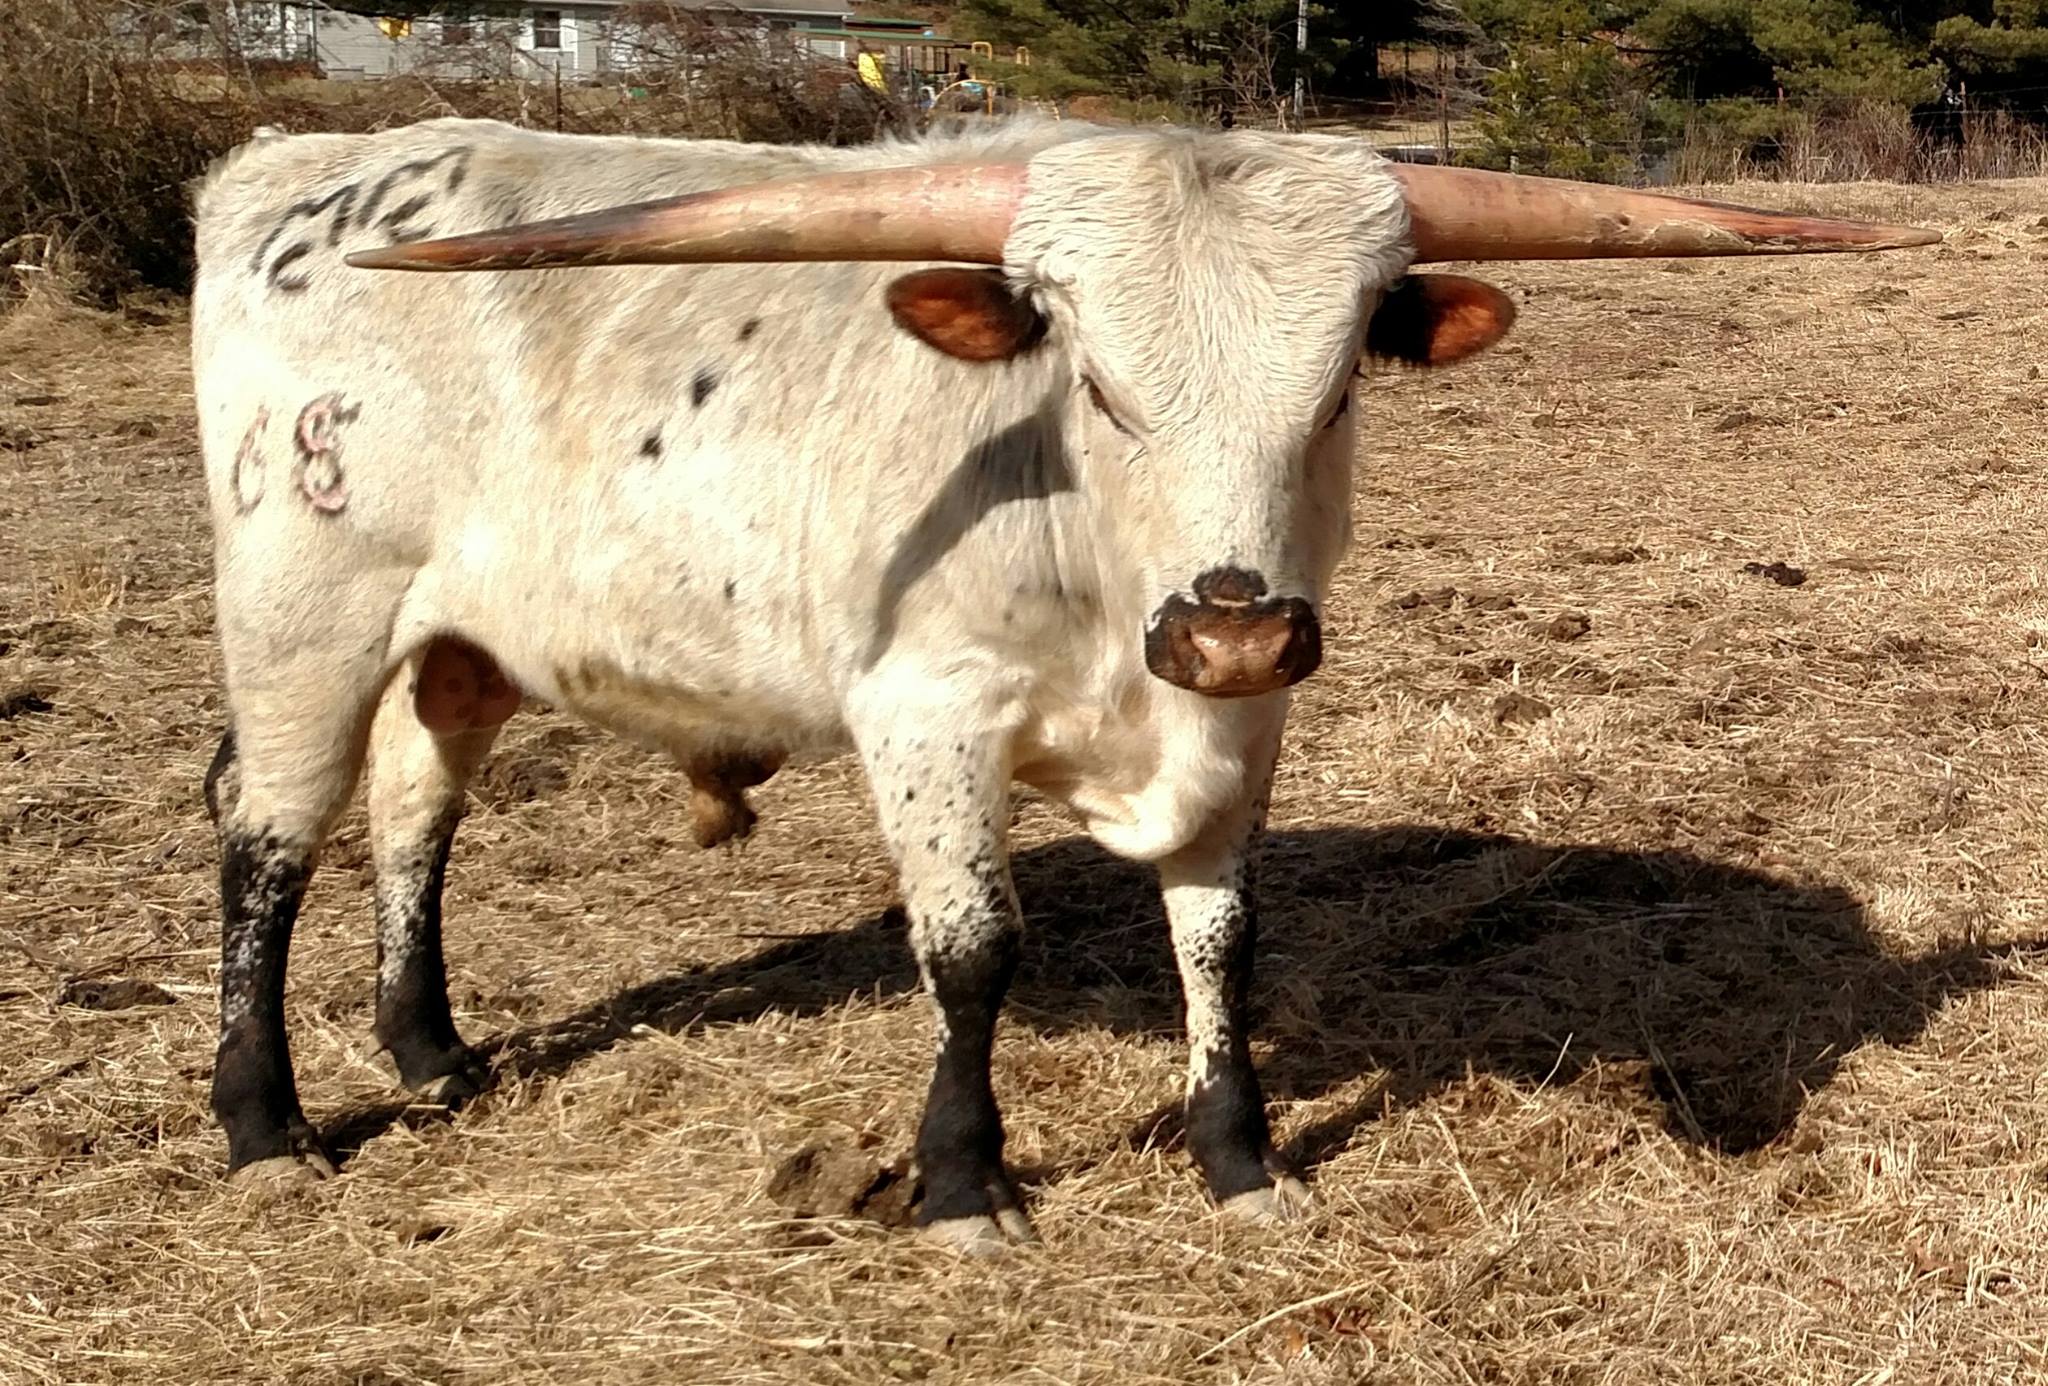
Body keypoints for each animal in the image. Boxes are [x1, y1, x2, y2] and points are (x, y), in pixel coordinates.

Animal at [191, 118, 1935, 1251]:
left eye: (1342, 382)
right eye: (1096, 381)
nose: (1232, 626)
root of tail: (293, 167)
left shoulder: (1245, 726)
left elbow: (1223, 939)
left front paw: (1238, 1155)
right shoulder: (925, 718)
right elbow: (973, 953)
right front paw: (964, 1183)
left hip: (458, 639)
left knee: (416, 803)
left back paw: (432, 1050)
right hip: (301, 613)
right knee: (267, 839)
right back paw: (266, 1123)